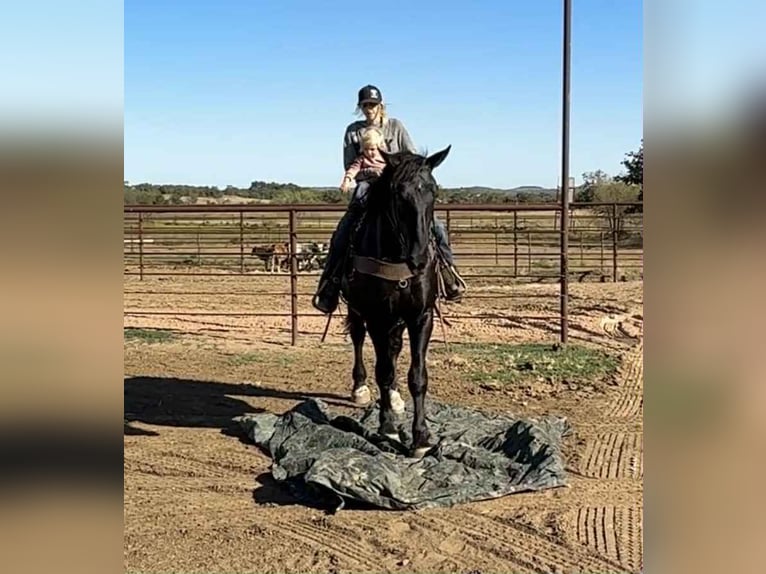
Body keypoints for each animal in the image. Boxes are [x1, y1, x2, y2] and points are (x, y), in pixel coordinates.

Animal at [340, 145, 451, 458]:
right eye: (398, 194)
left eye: (434, 191)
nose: (420, 258)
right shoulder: (376, 318)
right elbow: (383, 371)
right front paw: (387, 425)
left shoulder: (421, 317)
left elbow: (418, 376)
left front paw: (421, 437)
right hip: (358, 311)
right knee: (359, 340)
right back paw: (361, 388)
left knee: (394, 349)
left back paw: (396, 396)